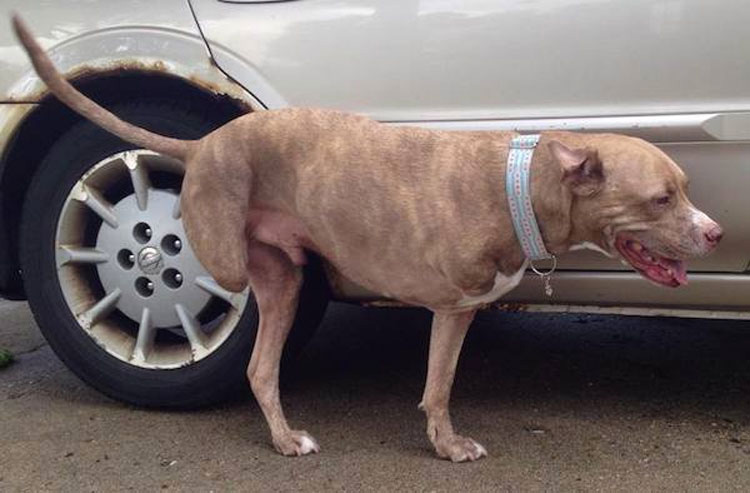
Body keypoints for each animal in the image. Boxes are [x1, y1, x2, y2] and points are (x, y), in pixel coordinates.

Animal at [16, 15, 724, 462]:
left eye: (684, 188)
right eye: (661, 199)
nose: (716, 234)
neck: (517, 182)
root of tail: (206, 144)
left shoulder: (461, 312)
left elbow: (439, 383)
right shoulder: (451, 307)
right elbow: (439, 386)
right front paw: (448, 446)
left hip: (282, 281)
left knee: (261, 369)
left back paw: (285, 438)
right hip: (228, 258)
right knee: (186, 274)